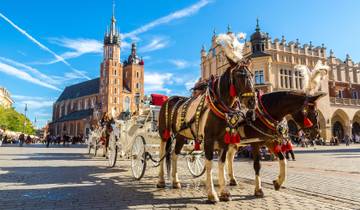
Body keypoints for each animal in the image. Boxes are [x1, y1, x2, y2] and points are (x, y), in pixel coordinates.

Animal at [158, 61, 256, 203]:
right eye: (240, 75)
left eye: (252, 75)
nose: (252, 101)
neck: (218, 106)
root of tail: (169, 99)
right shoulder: (209, 140)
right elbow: (209, 164)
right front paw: (212, 194)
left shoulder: (224, 141)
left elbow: (221, 164)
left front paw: (224, 192)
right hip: (164, 133)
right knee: (162, 153)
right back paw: (160, 181)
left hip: (181, 136)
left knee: (174, 155)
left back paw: (176, 182)